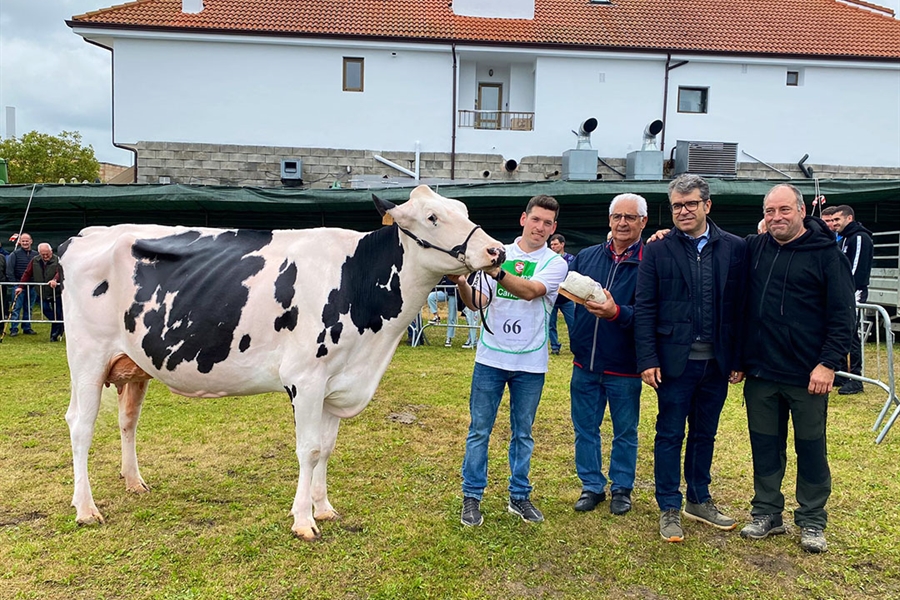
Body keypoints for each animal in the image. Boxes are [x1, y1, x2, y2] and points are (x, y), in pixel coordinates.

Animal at [59, 185, 502, 540]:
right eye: (432, 217)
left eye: (463, 209)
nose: (496, 251)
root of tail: (86, 235)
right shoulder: (305, 379)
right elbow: (308, 449)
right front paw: (304, 521)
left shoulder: (335, 383)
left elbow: (326, 449)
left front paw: (324, 508)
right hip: (87, 358)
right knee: (80, 425)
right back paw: (86, 508)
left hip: (133, 364)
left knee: (127, 420)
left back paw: (134, 482)